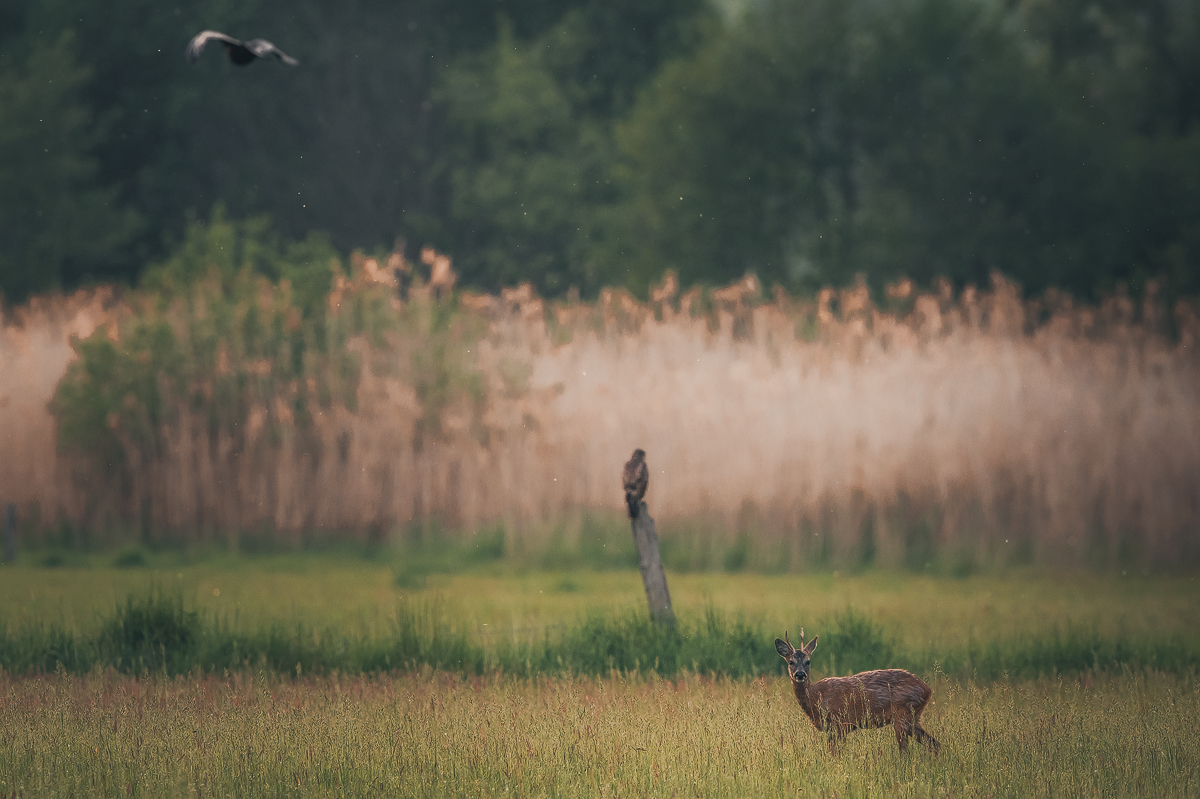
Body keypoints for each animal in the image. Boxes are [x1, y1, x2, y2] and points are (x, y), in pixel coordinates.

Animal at [772, 623, 940, 748]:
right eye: (791, 662)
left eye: (808, 661)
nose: (800, 674)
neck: (818, 696)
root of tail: (927, 689)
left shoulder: (840, 723)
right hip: (913, 717)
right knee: (935, 744)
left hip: (903, 714)